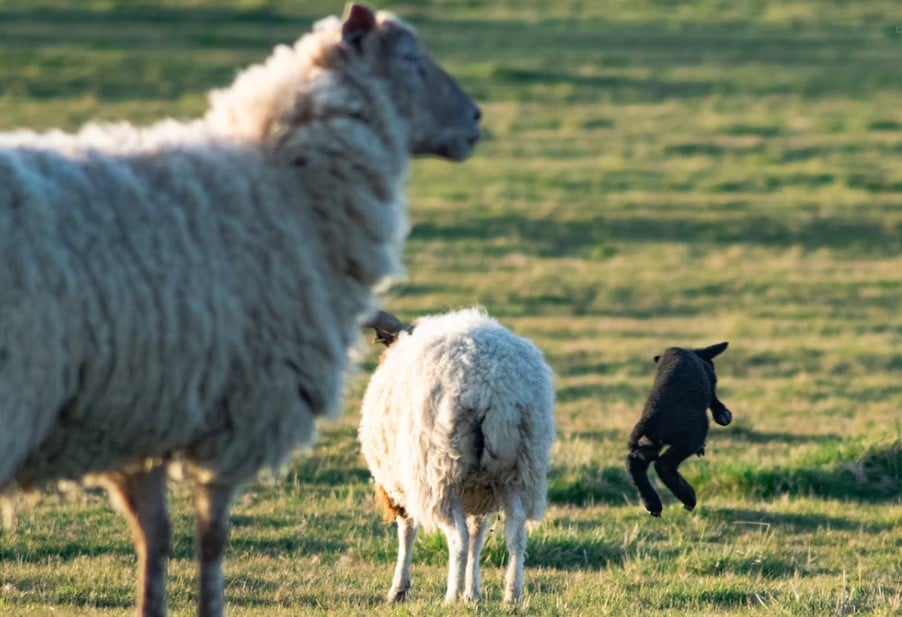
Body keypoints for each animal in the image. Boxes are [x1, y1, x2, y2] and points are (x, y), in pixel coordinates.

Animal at [0, 6, 484, 616]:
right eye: (412, 58)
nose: (476, 118)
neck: (286, 182)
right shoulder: (241, 408)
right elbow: (210, 536)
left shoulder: (147, 410)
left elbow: (154, 535)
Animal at [356, 308, 556, 600]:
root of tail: (491, 386)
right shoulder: (478, 490)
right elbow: (478, 535)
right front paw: (473, 593)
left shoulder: (400, 485)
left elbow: (407, 531)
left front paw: (399, 590)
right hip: (518, 470)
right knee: (515, 532)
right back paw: (512, 595)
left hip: (440, 473)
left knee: (457, 537)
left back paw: (450, 597)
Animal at [628, 342, 736, 516]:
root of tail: (649, 421)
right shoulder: (710, 380)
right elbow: (712, 396)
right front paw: (723, 414)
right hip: (690, 438)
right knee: (664, 465)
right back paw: (688, 497)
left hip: (648, 444)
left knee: (635, 462)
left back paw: (652, 504)